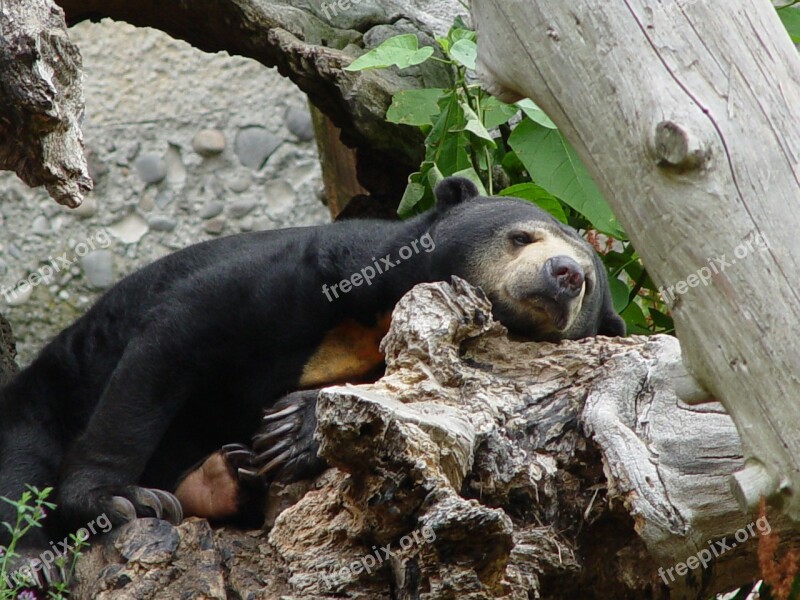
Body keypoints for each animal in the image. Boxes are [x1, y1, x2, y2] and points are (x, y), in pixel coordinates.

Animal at [0, 177, 620, 580]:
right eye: (522, 237)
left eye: (589, 281)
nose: (565, 274)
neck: (378, 320)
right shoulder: (309, 270)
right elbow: (175, 339)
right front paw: (116, 500)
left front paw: (291, 432)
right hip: (46, 392)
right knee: (21, 462)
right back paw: (34, 559)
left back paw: (224, 477)